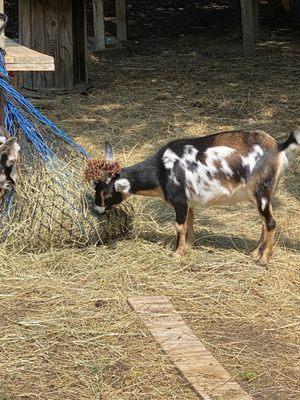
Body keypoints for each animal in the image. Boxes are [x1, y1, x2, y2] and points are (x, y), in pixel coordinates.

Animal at [91, 130, 300, 264]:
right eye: (95, 188)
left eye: (107, 194)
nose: (96, 209)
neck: (160, 170)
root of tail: (279, 146)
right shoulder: (188, 202)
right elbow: (189, 224)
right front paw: (188, 247)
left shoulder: (179, 199)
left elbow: (179, 226)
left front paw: (176, 253)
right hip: (265, 194)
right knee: (265, 222)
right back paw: (255, 253)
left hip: (260, 191)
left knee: (270, 222)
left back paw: (263, 259)